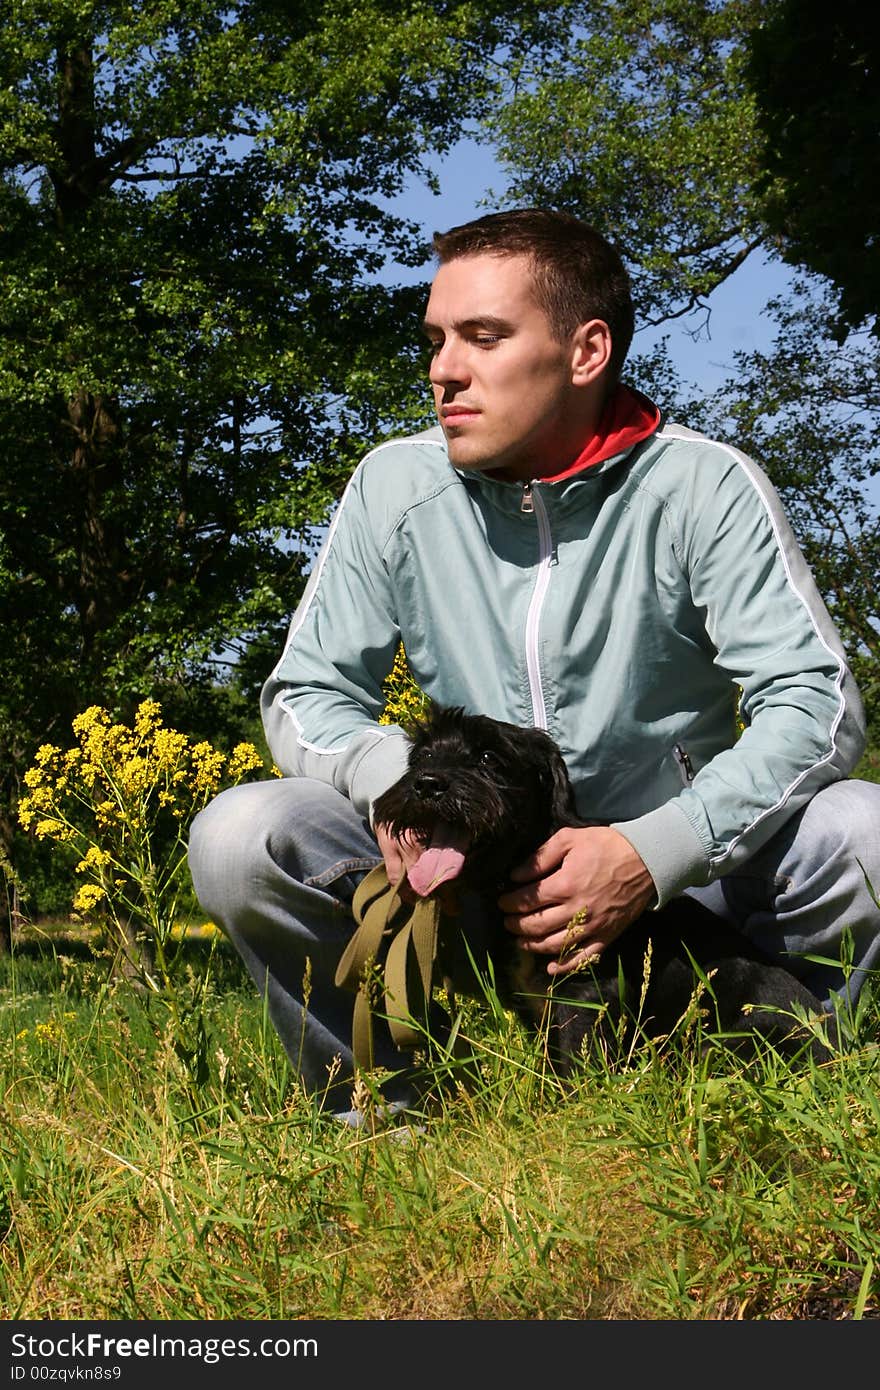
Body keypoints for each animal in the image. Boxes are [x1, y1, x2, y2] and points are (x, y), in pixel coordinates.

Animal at [372, 706, 839, 1073]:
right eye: (422, 756)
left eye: (488, 757)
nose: (427, 783)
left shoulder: (586, 996)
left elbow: (579, 1066)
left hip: (732, 1043)